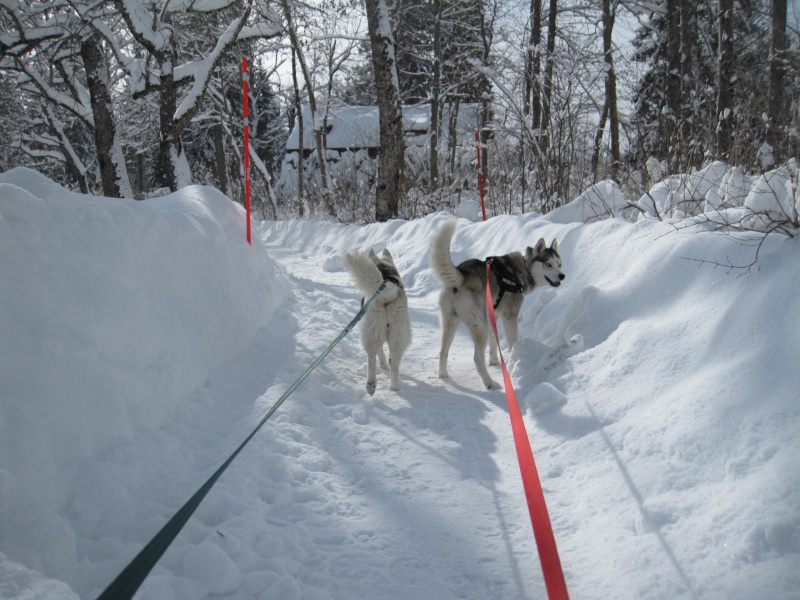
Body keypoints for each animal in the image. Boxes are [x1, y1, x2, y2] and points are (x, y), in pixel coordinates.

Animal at [342, 247, 412, 394]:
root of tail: (388, 289)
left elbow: (380, 352)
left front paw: (383, 365)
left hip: (372, 331)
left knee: (372, 357)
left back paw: (371, 384)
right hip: (398, 333)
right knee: (394, 363)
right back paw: (393, 387)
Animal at [432, 220, 564, 390]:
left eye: (559, 264)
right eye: (548, 264)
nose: (562, 275)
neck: (521, 271)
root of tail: (462, 275)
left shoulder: (494, 315)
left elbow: (494, 342)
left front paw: (495, 360)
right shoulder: (510, 316)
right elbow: (512, 341)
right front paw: (515, 360)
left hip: (450, 322)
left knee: (443, 351)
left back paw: (443, 375)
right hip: (479, 325)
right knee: (477, 357)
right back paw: (490, 383)